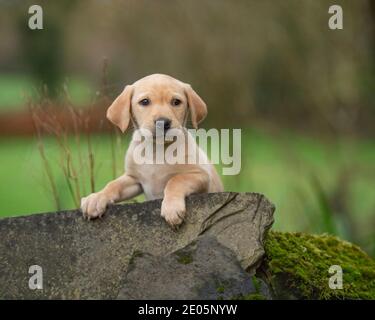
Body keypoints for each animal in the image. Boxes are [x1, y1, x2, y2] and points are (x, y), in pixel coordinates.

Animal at [80, 74, 223, 226]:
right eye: (145, 102)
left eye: (176, 102)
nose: (163, 122)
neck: (156, 150)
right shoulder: (134, 179)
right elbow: (113, 184)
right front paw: (96, 198)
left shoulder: (202, 176)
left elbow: (176, 180)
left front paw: (172, 208)